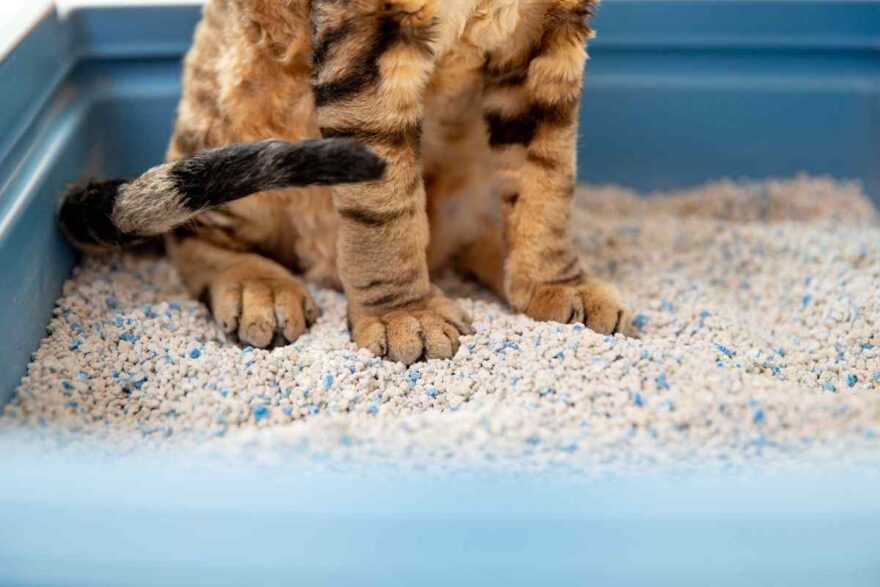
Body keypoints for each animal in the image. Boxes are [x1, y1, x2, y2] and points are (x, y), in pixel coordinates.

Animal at [59, 0, 629, 365]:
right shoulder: (366, 38)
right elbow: (384, 207)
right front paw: (405, 316)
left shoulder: (548, 35)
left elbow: (547, 177)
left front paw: (557, 284)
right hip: (237, 110)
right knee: (193, 231)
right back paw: (257, 286)